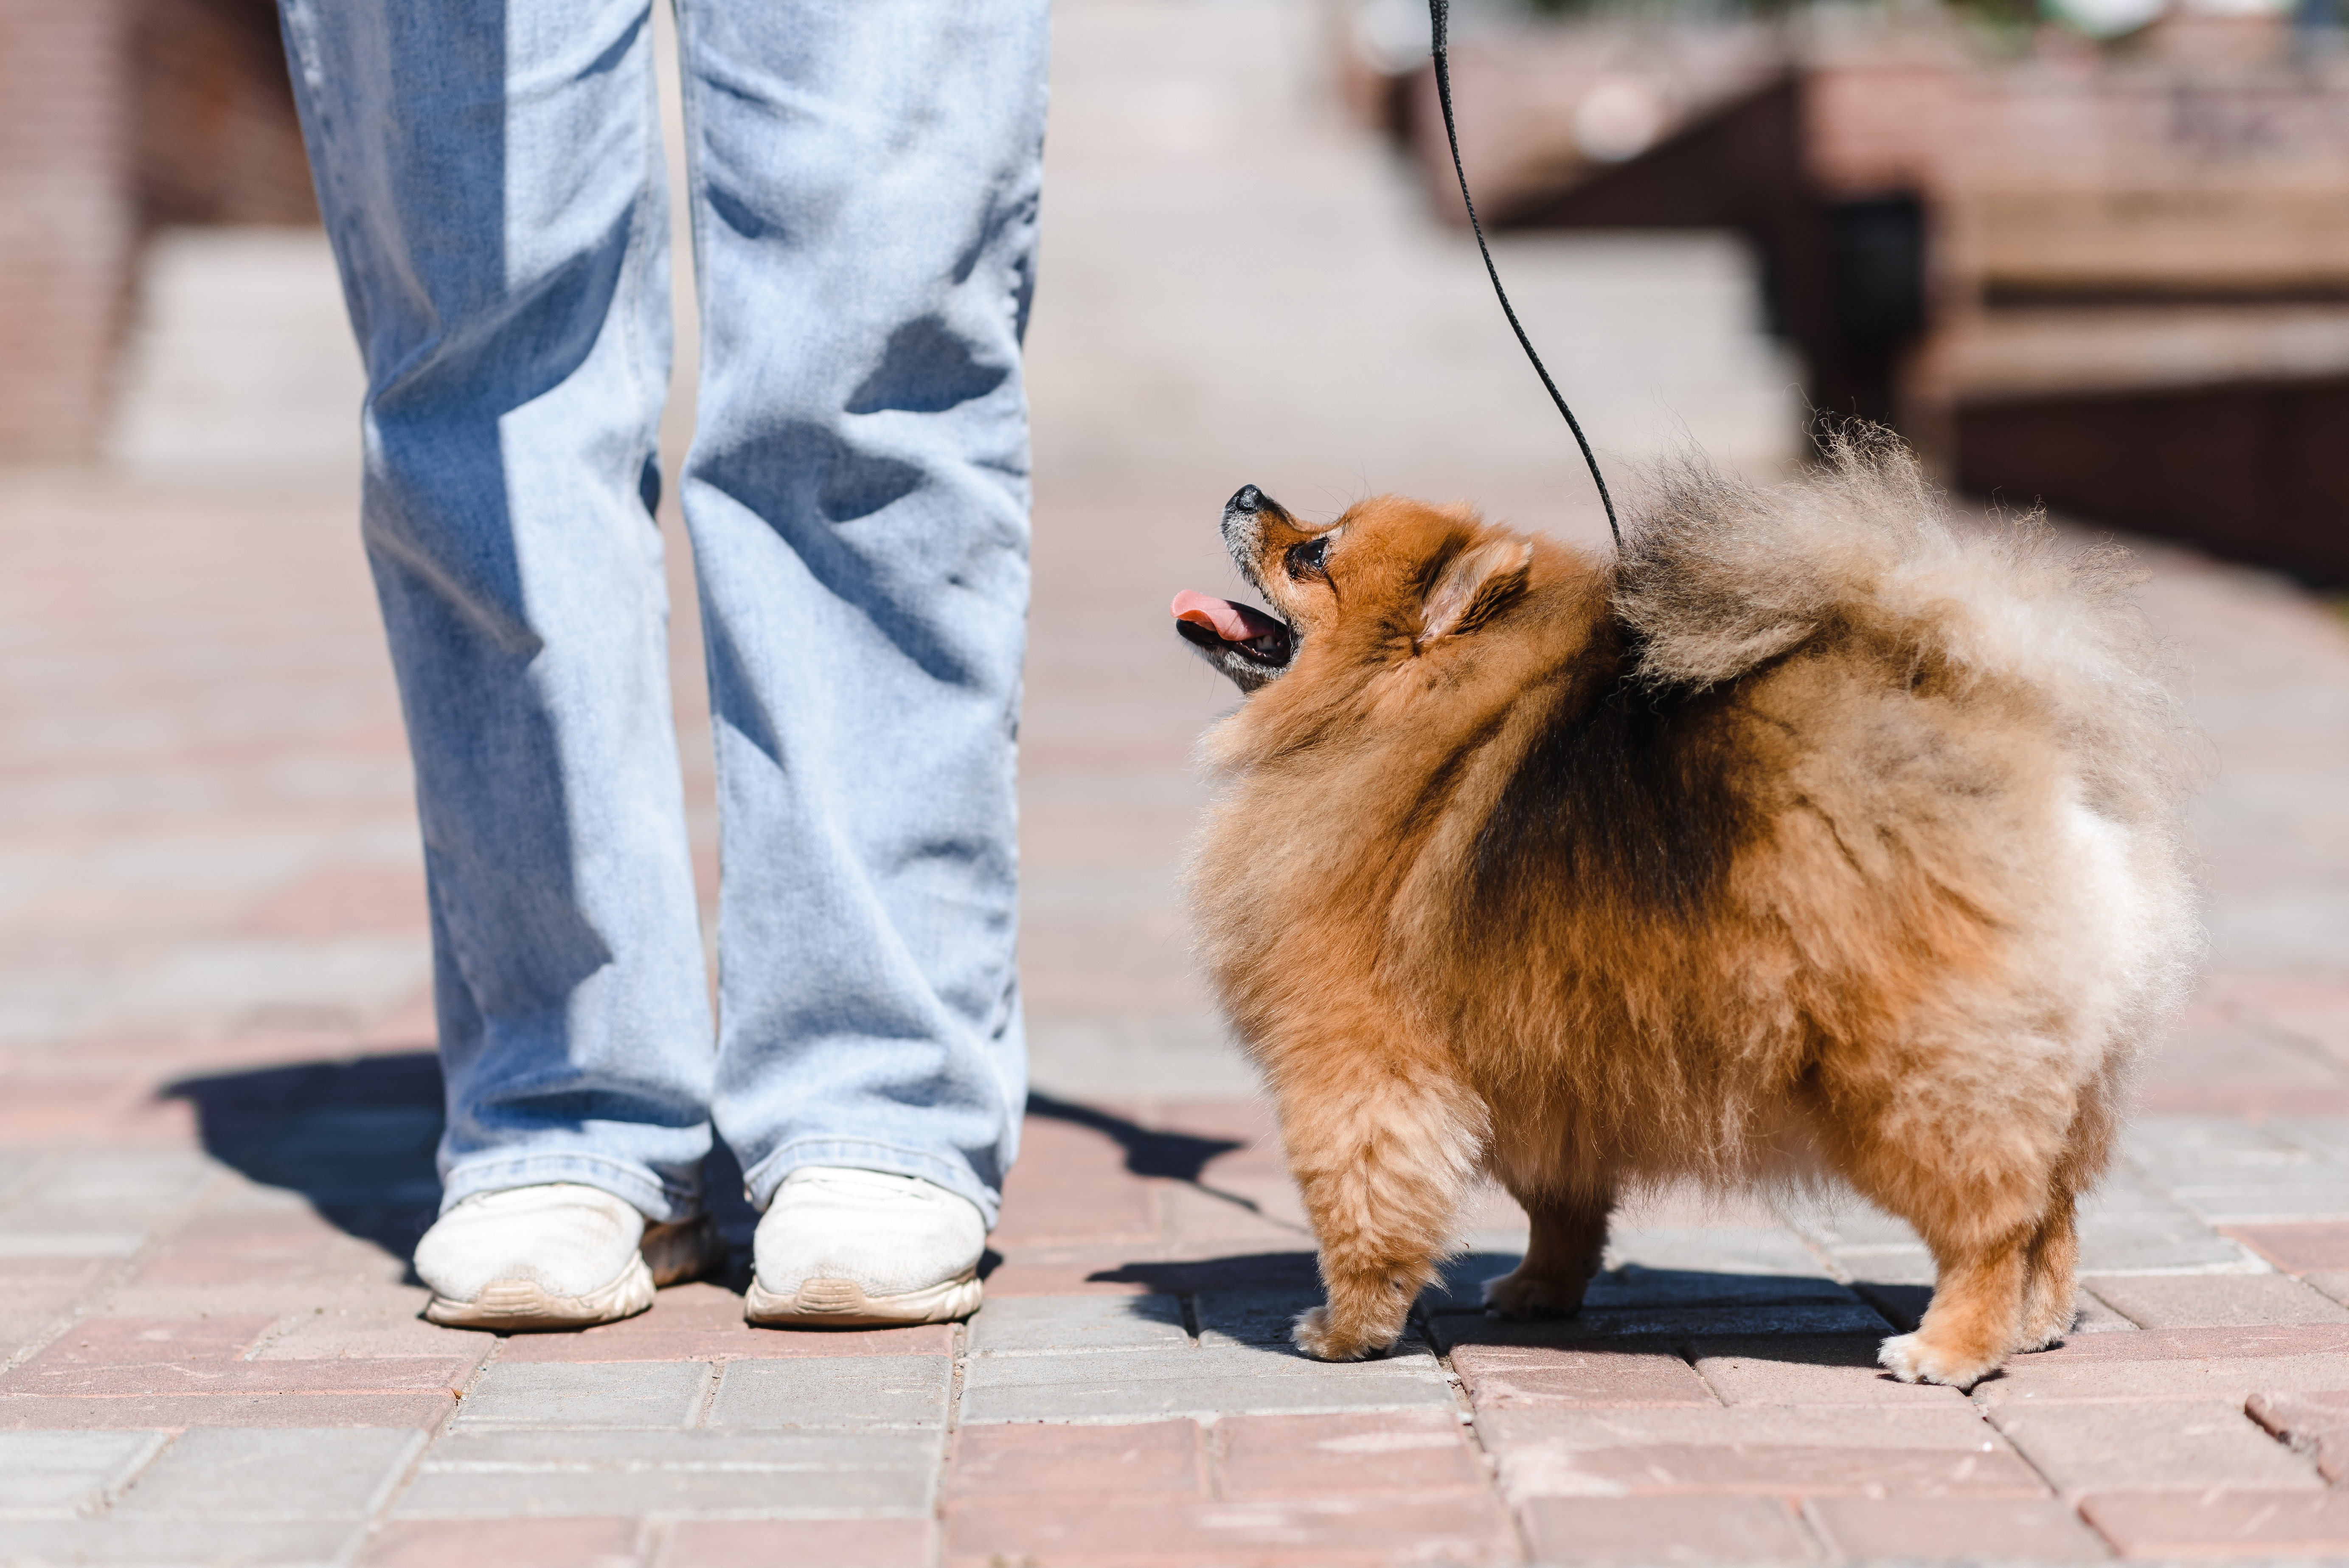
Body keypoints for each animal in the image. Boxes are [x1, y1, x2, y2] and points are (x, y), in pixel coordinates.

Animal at [1174, 434, 2198, 1389]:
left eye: (1314, 553)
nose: (1246, 491)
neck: (1396, 720)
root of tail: (2020, 736)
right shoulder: (1548, 1068)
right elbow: (1562, 1204)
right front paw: (1541, 1290)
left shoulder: (1354, 1057)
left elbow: (1361, 1202)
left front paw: (1346, 1328)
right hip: (2057, 1069)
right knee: (2052, 1208)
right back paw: (2039, 1320)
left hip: (1907, 1072)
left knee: (1991, 1220)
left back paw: (1950, 1347)